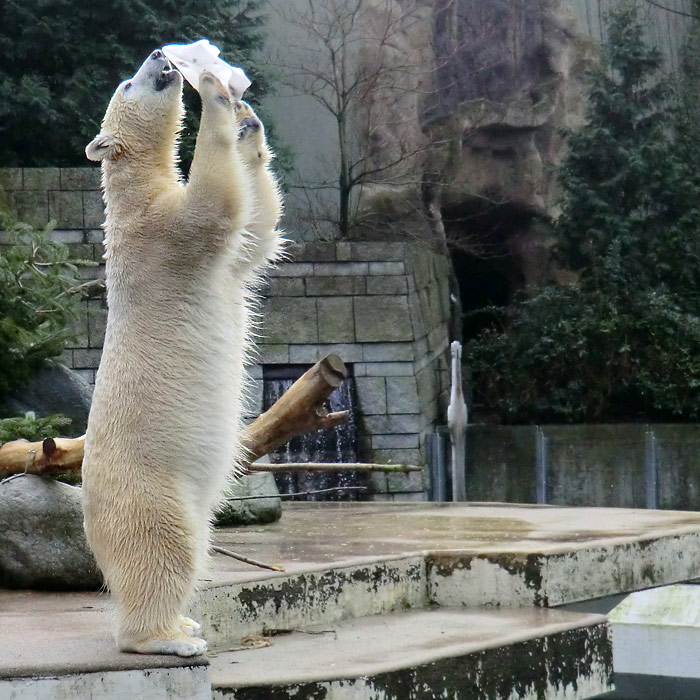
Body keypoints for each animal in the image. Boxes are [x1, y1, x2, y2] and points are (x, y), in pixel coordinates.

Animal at [80, 49, 282, 656]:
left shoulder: (206, 249)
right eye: (128, 82)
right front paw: (215, 94)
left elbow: (256, 233)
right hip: (150, 494)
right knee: (166, 552)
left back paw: (186, 624)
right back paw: (169, 637)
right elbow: (215, 206)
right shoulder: (162, 234)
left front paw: (248, 123)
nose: (158, 55)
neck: (133, 192)